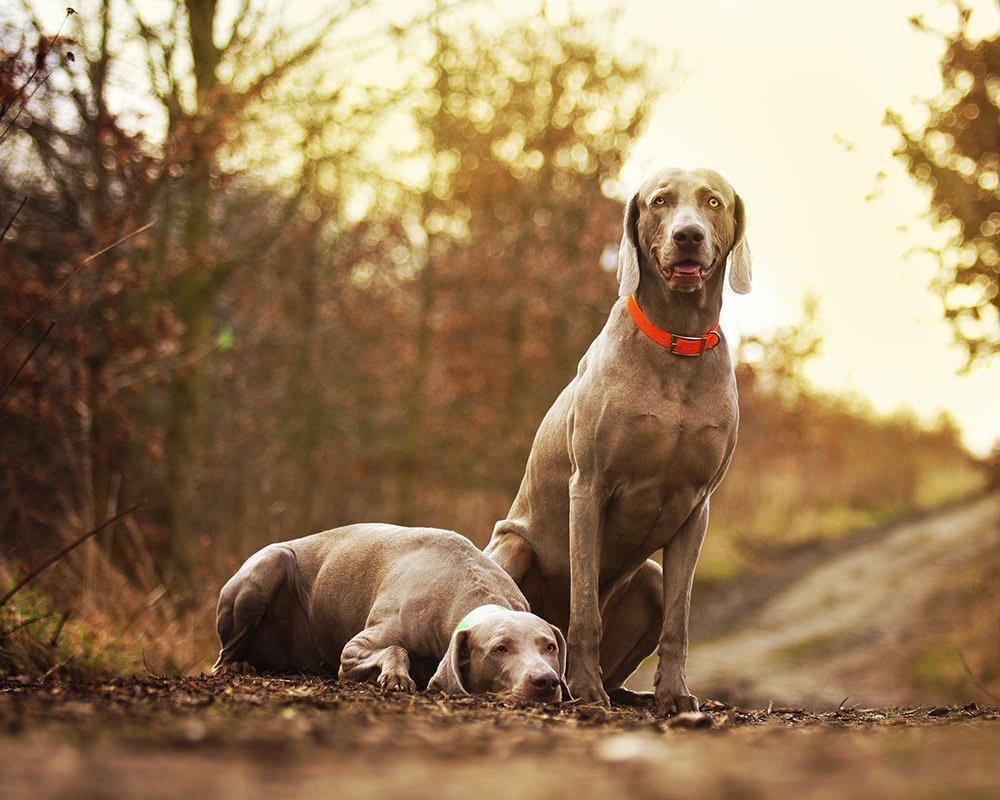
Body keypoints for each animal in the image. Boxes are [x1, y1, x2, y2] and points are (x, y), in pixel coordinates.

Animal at [212, 524, 568, 708]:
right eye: (500, 648)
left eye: (550, 647)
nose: (547, 681)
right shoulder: (352, 651)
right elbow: (395, 648)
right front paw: (396, 677)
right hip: (269, 564)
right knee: (223, 657)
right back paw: (235, 666)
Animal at [484, 167, 752, 712]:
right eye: (660, 201)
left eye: (713, 201)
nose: (688, 235)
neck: (678, 343)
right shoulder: (589, 485)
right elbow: (585, 608)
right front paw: (585, 690)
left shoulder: (698, 507)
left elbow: (679, 621)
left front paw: (675, 695)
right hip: (513, 550)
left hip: (648, 577)